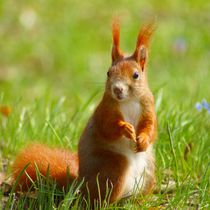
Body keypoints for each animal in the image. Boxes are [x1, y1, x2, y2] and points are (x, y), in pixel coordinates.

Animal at [11, 20, 156, 205]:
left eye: (136, 75)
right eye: (108, 73)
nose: (117, 89)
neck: (128, 100)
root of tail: (79, 185)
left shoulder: (148, 106)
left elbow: (151, 127)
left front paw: (143, 139)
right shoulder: (105, 110)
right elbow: (107, 127)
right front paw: (125, 128)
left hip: (148, 172)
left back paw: (138, 201)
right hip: (114, 167)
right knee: (99, 197)